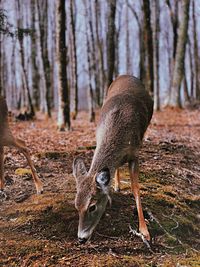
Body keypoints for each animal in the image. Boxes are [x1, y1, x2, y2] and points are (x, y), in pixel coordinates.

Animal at [73, 75, 153, 245]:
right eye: (76, 206)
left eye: (92, 206)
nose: (81, 238)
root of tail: (127, 75)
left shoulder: (134, 154)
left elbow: (136, 189)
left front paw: (144, 231)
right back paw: (116, 186)